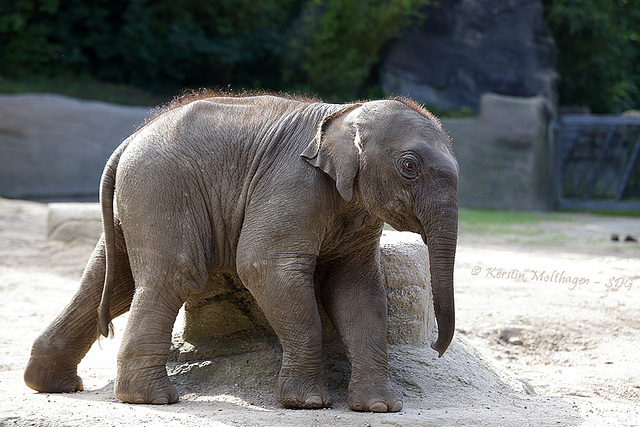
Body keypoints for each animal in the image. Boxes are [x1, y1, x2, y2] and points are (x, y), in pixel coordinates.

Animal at [23, 93, 456, 412]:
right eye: (409, 166)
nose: (437, 351)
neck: (345, 113)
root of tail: (132, 135)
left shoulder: (358, 213)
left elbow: (357, 290)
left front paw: (379, 408)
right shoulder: (293, 184)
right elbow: (264, 266)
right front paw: (307, 404)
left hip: (136, 201)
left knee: (112, 284)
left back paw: (53, 384)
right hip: (162, 189)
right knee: (174, 276)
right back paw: (151, 398)